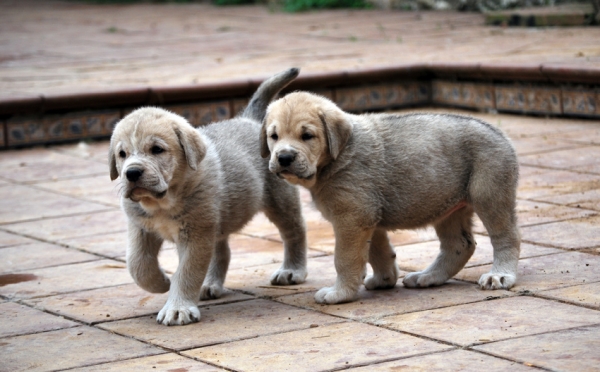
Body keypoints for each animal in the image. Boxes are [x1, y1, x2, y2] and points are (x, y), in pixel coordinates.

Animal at [110, 68, 310, 324]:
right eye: (122, 154)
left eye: (157, 149)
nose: (132, 173)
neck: (163, 203)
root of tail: (249, 120)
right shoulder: (141, 228)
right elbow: (137, 264)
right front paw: (162, 282)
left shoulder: (196, 234)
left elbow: (187, 271)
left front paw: (178, 307)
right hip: (217, 220)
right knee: (222, 252)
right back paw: (209, 284)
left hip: (279, 200)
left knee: (294, 232)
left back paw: (292, 270)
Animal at [262, 91, 520, 306]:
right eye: (273, 136)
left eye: (307, 136)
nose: (284, 157)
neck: (340, 155)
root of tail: (499, 133)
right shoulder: (368, 217)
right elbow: (378, 251)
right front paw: (384, 279)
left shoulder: (351, 219)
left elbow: (345, 259)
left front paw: (340, 293)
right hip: (449, 208)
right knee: (459, 245)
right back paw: (428, 276)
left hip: (490, 196)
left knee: (506, 237)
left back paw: (500, 274)